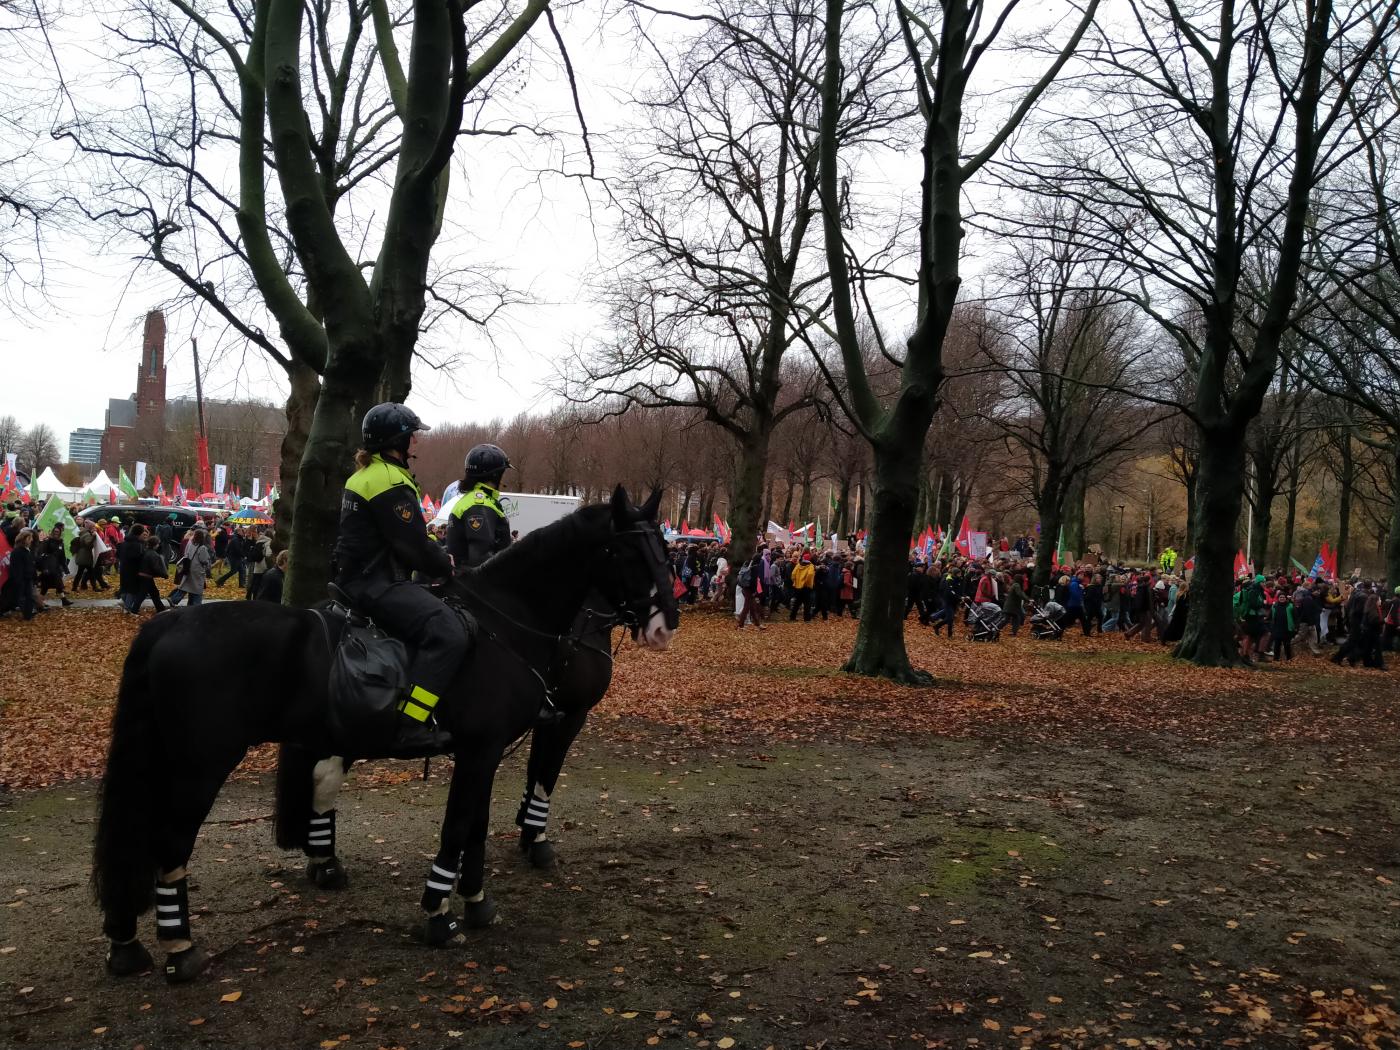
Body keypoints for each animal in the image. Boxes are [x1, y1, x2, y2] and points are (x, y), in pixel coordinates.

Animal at [94, 490, 677, 985]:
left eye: (665, 550)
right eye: (629, 552)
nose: (665, 624)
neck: (507, 621)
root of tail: (168, 625)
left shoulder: (485, 751)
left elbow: (477, 826)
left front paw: (477, 900)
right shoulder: (503, 742)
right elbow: (462, 824)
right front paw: (440, 913)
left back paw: (127, 941)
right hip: (201, 765)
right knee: (170, 841)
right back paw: (180, 947)